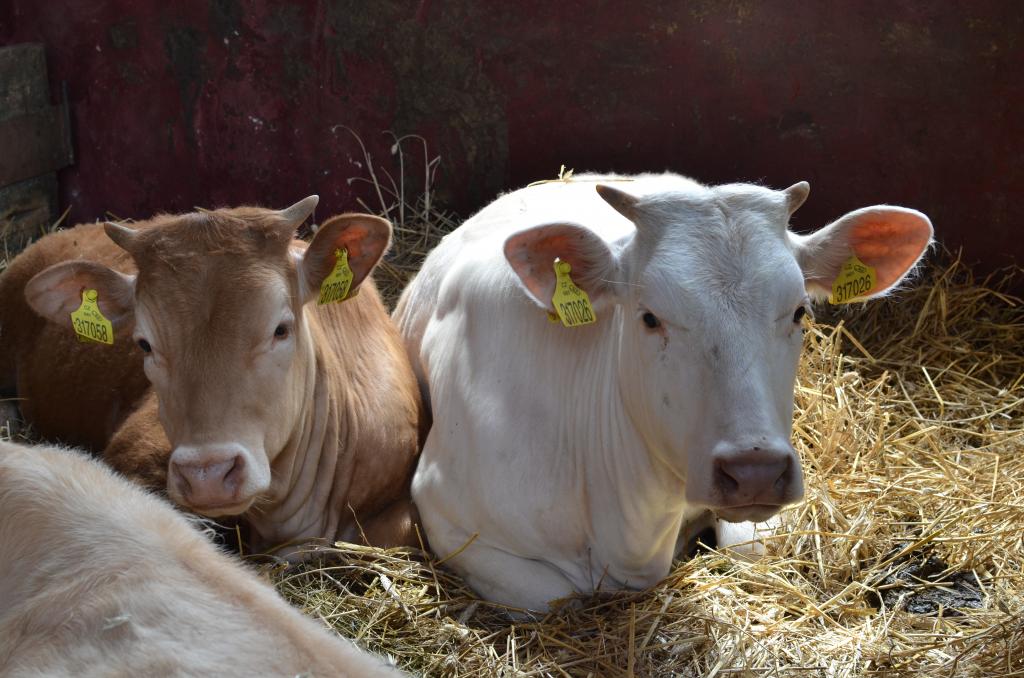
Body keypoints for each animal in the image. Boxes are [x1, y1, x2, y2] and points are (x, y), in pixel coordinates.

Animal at [397, 175, 937, 610]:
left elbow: (749, 549)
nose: (756, 471)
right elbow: (554, 596)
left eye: (800, 311)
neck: (633, 533)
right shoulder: (445, 512)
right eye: (650, 317)